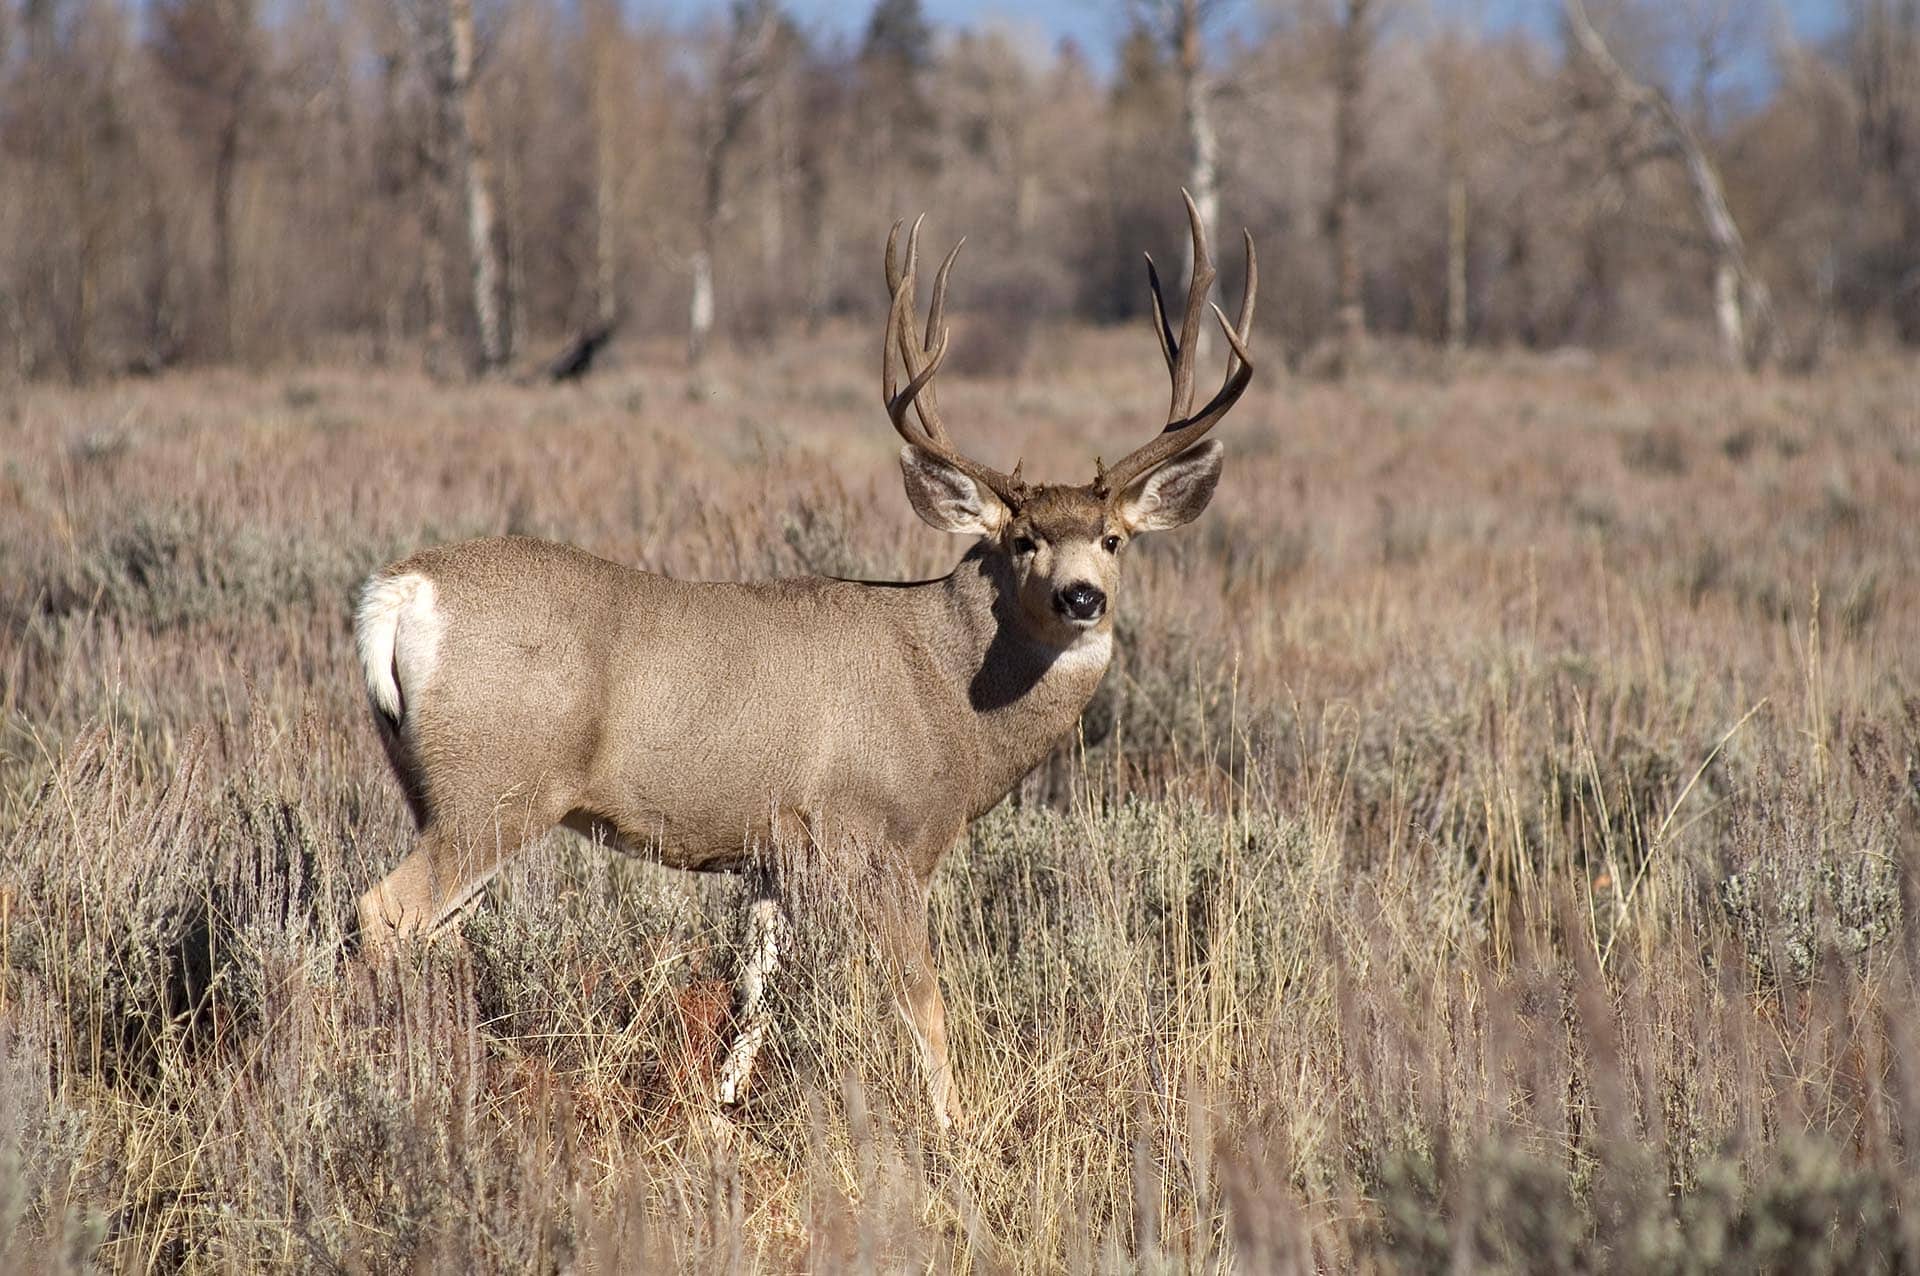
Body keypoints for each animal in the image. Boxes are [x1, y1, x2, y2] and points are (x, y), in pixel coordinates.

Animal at [352, 193, 1255, 1129]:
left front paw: (718, 1110)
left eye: (1113, 538)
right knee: (383, 912)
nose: (1082, 598)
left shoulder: (774, 856)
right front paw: (953, 1131)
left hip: (443, 788)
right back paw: (397, 1083)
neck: (949, 697)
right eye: (1023, 539)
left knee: (431, 926)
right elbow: (921, 1001)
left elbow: (752, 992)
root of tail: (399, 592)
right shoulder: (878, 840)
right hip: (495, 784)